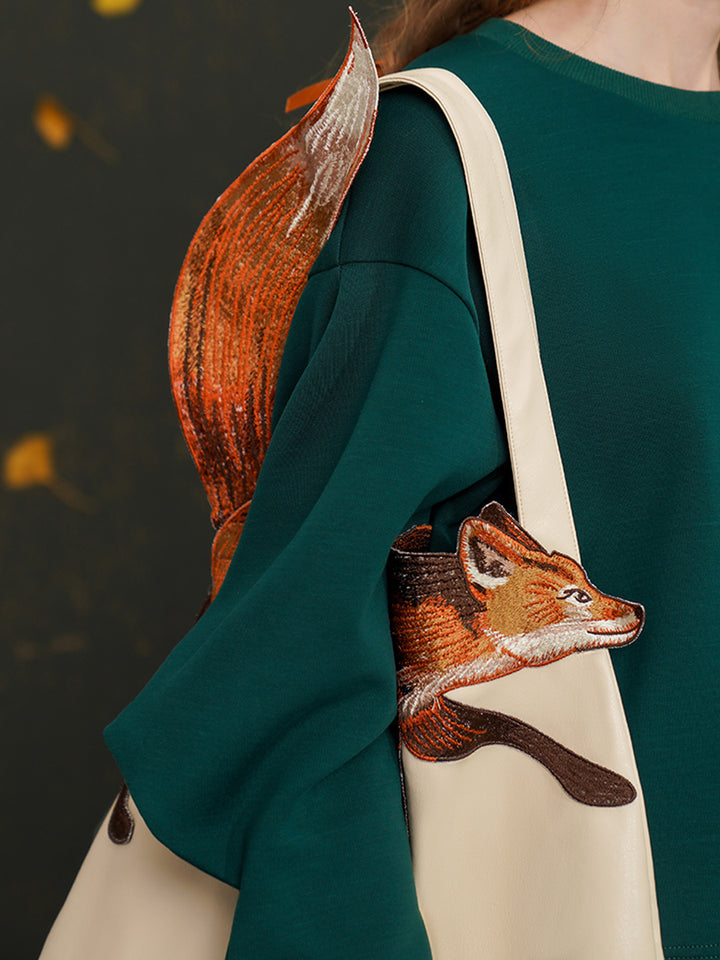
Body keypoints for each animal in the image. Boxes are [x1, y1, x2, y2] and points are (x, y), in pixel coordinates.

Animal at [388, 501, 645, 806]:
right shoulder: (415, 703)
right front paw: (601, 784)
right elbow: (513, 730)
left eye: (589, 584)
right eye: (578, 596)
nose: (639, 611)